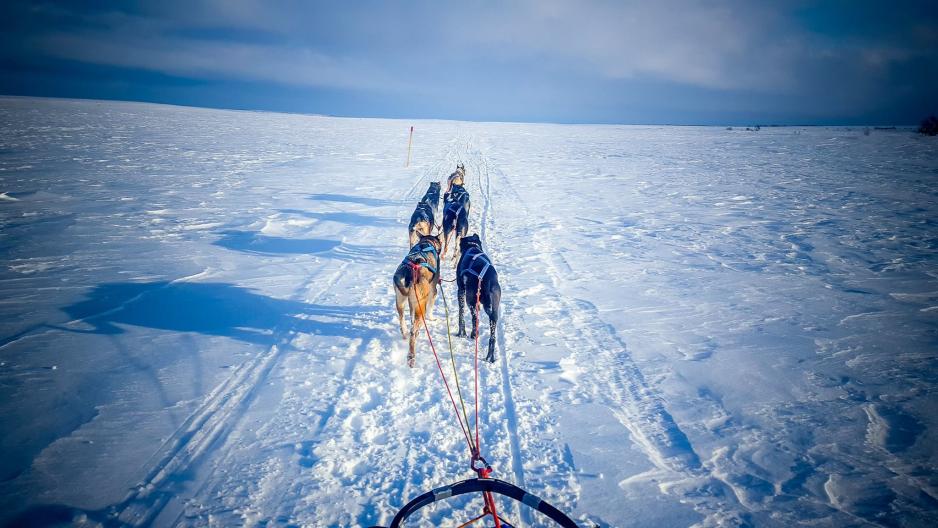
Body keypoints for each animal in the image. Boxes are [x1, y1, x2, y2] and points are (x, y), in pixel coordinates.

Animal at [392, 235, 442, 368]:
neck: (426, 243)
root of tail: (411, 271)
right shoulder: (433, 290)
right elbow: (431, 308)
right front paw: (432, 318)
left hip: (400, 300)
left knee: (402, 318)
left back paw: (404, 332)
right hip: (421, 307)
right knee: (413, 331)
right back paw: (411, 357)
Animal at [454, 235, 498, 364]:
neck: (472, 245)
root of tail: (487, 279)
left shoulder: (461, 291)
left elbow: (461, 314)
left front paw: (461, 333)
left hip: (470, 300)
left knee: (475, 319)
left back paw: (474, 334)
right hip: (494, 312)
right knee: (492, 337)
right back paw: (490, 357)